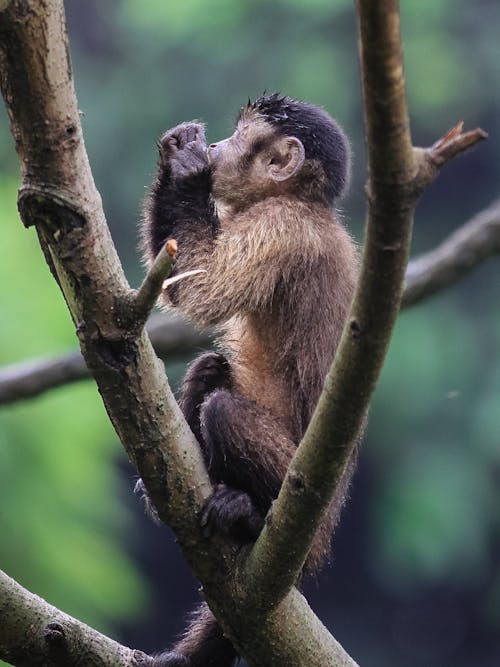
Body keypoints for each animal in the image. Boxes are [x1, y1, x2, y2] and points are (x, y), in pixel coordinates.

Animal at [140, 95, 360, 667]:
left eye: (238, 138)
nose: (216, 146)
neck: (302, 203)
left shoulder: (281, 224)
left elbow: (202, 287)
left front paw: (184, 165)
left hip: (311, 520)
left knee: (223, 409)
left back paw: (250, 517)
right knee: (211, 371)